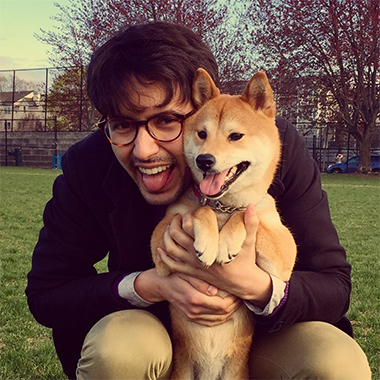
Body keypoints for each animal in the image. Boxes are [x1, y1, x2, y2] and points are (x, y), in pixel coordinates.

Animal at [151, 68, 296, 380]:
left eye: (236, 136)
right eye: (202, 134)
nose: (204, 160)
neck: (223, 207)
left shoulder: (284, 254)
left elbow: (246, 213)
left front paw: (225, 242)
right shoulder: (162, 240)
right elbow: (199, 210)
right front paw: (208, 242)